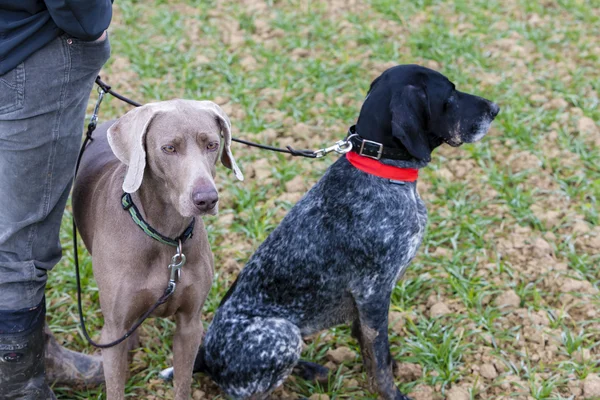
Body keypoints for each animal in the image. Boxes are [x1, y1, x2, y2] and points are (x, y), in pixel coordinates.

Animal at [73, 98, 244, 398]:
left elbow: (183, 383)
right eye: (169, 148)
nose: (206, 199)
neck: (166, 236)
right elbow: (115, 384)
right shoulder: (113, 330)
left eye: (212, 144)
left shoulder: (190, 324)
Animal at [162, 65, 500, 400]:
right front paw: (391, 392)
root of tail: (205, 355)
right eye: (450, 94)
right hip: (283, 334)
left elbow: (371, 348)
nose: (495, 108)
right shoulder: (373, 292)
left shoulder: (369, 301)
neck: (380, 170)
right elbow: (379, 361)